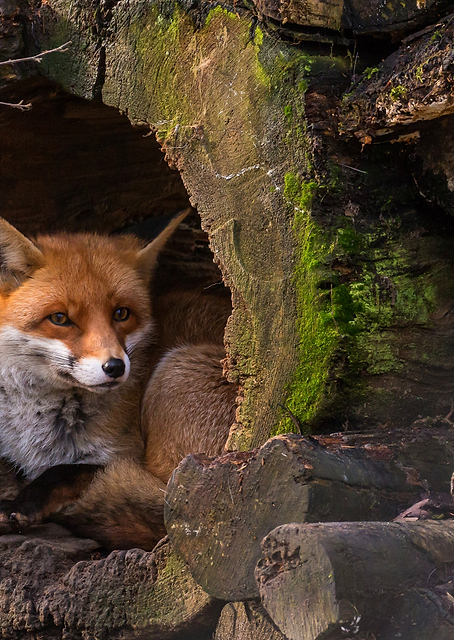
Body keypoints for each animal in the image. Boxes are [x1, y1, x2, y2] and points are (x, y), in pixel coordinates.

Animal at [0, 210, 237, 550]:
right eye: (59, 318)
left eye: (121, 313)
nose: (115, 367)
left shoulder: (123, 454)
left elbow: (65, 472)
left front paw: (23, 504)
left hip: (175, 380)